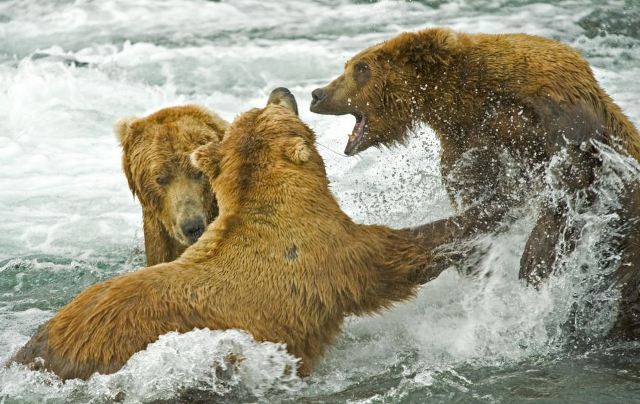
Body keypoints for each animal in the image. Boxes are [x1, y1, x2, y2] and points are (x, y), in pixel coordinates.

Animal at [310, 28, 640, 336]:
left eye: (360, 67)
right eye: (349, 65)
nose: (317, 93)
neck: (466, 97)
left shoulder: (555, 111)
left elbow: (568, 181)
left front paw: (534, 260)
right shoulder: (466, 145)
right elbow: (480, 195)